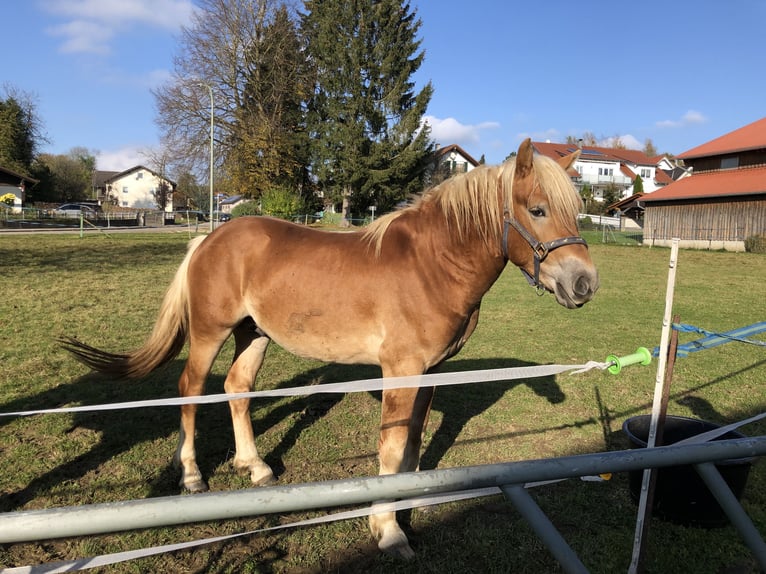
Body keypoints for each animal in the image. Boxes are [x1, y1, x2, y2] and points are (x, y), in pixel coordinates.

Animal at [61, 138, 600, 560]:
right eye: (537, 210)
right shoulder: (401, 370)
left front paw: (411, 506)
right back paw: (191, 474)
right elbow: (391, 448)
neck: (431, 264)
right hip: (212, 334)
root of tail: (210, 238)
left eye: (575, 212)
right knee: (191, 389)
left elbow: (414, 441)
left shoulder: (429, 372)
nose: (584, 284)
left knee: (237, 389)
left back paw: (254, 466)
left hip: (254, 335)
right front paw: (388, 531)